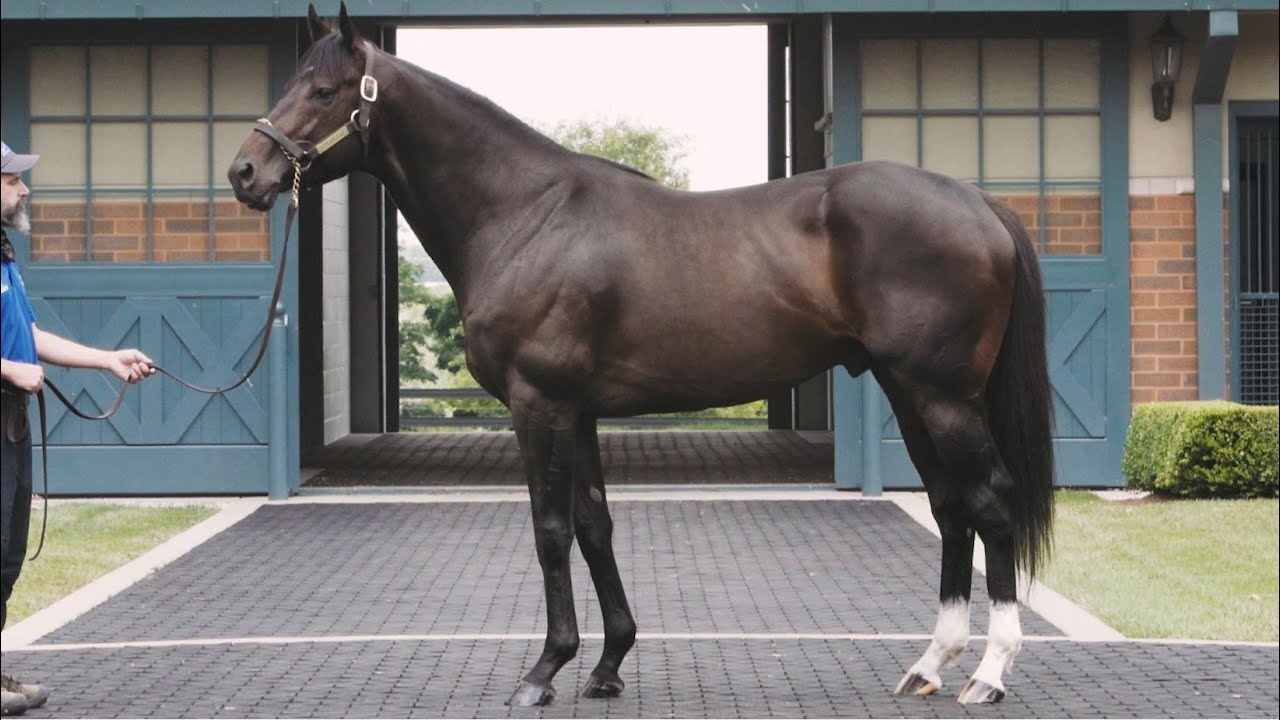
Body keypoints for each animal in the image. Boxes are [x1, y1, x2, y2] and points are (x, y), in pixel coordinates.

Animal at [229, 3, 1055, 707]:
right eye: (291, 83)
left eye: (325, 90)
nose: (245, 173)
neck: (524, 214)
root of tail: (977, 202)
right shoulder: (580, 412)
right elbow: (595, 526)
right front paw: (607, 664)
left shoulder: (539, 404)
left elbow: (550, 530)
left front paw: (544, 669)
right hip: (909, 391)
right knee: (950, 507)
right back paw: (929, 664)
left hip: (941, 396)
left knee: (991, 501)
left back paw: (989, 673)